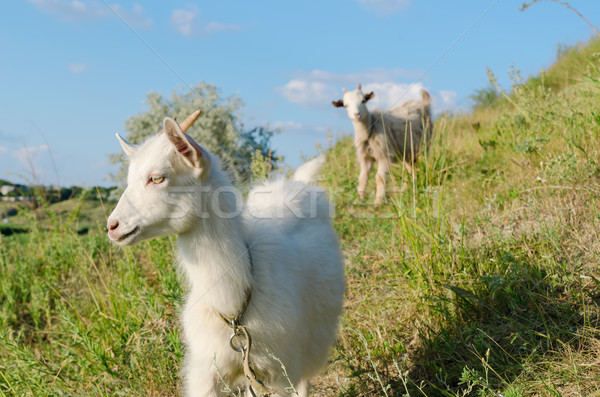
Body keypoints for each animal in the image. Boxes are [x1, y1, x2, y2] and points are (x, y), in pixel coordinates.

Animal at [105, 112, 344, 396]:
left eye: (158, 178)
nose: (112, 226)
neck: (232, 308)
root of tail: (298, 183)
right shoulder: (207, 370)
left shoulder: (278, 373)